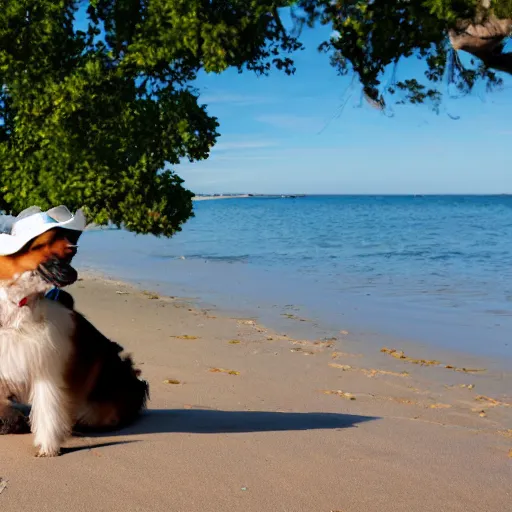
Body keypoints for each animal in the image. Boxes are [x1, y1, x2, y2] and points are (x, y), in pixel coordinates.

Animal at [0, 208, 148, 456]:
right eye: (55, 251)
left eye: (71, 253)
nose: (75, 274)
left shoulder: (47, 370)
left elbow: (48, 412)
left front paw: (48, 448)